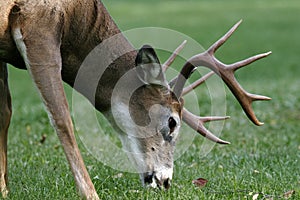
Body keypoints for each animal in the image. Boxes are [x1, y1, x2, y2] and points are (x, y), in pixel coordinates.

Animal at [0, 0, 270, 198]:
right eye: (172, 122)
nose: (165, 181)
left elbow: (5, 112)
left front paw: (4, 190)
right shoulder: (39, 25)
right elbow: (61, 117)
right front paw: (91, 195)